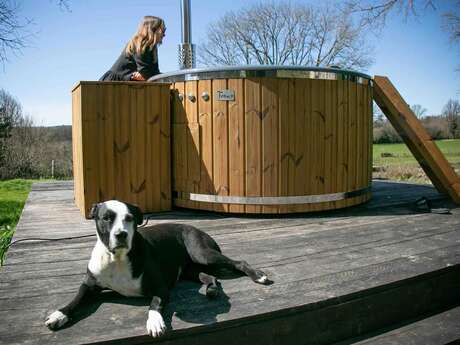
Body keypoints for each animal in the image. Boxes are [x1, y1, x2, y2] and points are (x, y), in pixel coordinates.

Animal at [44, 199, 270, 336]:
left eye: (129, 218)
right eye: (106, 218)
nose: (121, 234)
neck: (117, 258)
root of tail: (195, 227)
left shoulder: (161, 288)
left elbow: (154, 304)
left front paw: (155, 322)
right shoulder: (90, 285)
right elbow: (76, 298)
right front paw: (59, 314)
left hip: (203, 254)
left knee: (239, 263)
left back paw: (259, 275)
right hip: (190, 269)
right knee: (210, 277)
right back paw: (212, 289)